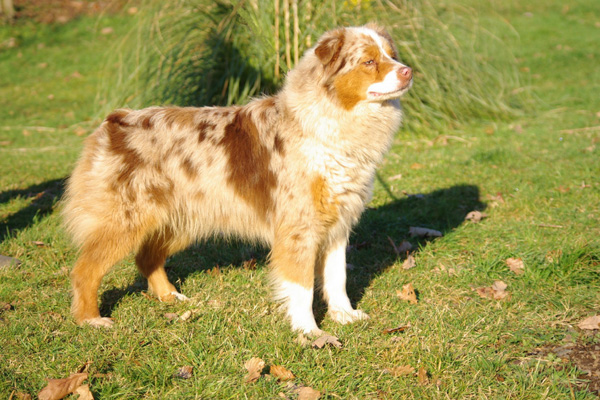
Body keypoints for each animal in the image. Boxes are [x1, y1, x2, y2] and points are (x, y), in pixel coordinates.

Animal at [62, 23, 412, 335]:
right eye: (368, 61)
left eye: (392, 55)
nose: (408, 71)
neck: (330, 120)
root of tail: (115, 121)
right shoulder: (299, 227)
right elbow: (301, 286)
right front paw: (309, 331)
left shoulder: (338, 223)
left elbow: (336, 277)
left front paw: (344, 315)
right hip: (126, 220)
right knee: (85, 270)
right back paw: (90, 319)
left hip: (180, 219)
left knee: (146, 257)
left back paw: (170, 296)